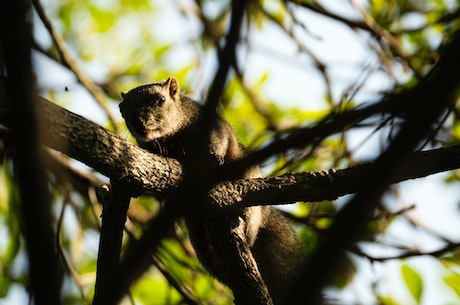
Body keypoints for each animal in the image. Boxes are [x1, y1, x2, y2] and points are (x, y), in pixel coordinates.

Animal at [119, 76, 306, 302]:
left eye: (161, 100)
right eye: (122, 108)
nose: (137, 122)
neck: (173, 137)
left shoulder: (213, 130)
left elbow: (217, 147)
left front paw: (214, 157)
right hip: (196, 233)